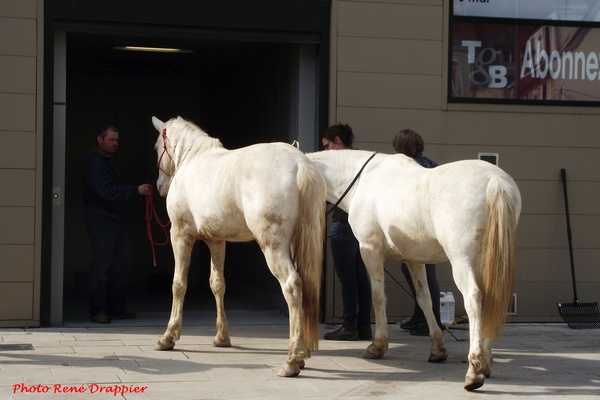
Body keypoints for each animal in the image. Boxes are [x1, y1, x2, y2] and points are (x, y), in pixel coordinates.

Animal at [152, 115, 326, 376]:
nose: (160, 187)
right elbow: (217, 284)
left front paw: (168, 337)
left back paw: (292, 360)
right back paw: (301, 353)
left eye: (156, 148)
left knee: (292, 286)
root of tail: (299, 164)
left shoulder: (181, 235)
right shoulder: (217, 240)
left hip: (273, 246)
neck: (192, 158)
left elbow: (178, 284)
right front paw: (222, 337)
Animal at [308, 148, 516, 390]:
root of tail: (494, 181)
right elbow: (424, 299)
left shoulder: (370, 250)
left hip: (462, 260)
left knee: (474, 300)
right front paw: (437, 349)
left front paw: (378, 346)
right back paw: (487, 364)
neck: (363, 179)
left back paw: (474, 371)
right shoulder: (414, 259)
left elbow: (378, 297)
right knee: (492, 300)